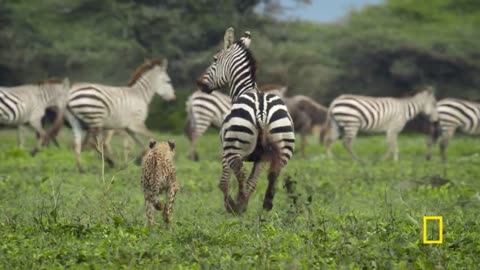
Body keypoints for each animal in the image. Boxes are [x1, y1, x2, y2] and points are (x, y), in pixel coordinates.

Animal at [196, 27, 294, 213]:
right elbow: (252, 182)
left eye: (214, 59)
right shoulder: (261, 158)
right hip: (283, 146)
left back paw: (236, 205)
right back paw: (265, 204)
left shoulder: (225, 151)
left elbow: (225, 181)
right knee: (274, 173)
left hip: (233, 146)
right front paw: (244, 204)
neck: (245, 90)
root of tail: (262, 111)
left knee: (239, 172)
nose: (199, 84)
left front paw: (232, 205)